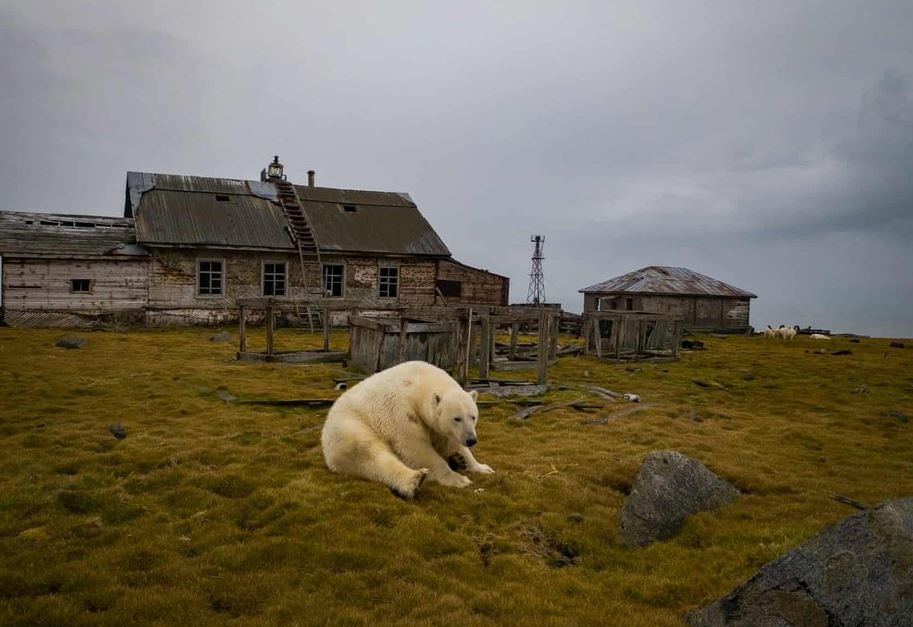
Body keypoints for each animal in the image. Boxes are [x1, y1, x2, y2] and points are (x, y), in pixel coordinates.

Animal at [318, 360, 492, 498]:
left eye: (473, 416)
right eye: (457, 418)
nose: (471, 439)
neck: (418, 381)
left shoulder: (438, 427)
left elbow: (451, 441)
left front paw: (482, 467)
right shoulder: (400, 411)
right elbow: (415, 446)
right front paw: (459, 479)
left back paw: (457, 460)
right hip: (352, 428)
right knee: (370, 454)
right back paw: (414, 479)